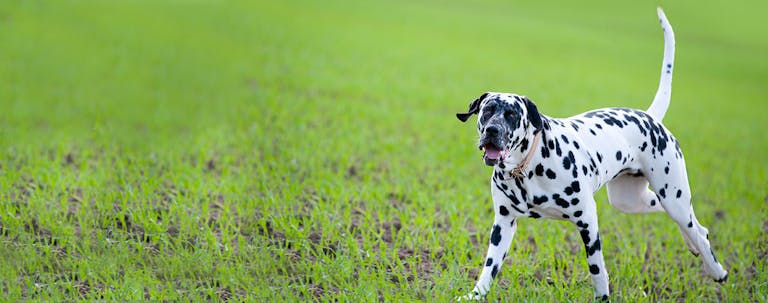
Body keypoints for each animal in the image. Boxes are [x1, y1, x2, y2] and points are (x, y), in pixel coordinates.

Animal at [456, 7, 728, 302]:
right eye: (487, 110)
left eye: (512, 114)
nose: (492, 131)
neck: (527, 168)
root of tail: (650, 117)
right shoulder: (503, 224)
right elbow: (489, 267)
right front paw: (475, 294)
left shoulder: (587, 220)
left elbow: (597, 269)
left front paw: (602, 297)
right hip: (632, 201)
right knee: (696, 226)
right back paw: (696, 246)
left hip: (673, 197)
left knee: (694, 227)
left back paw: (716, 270)